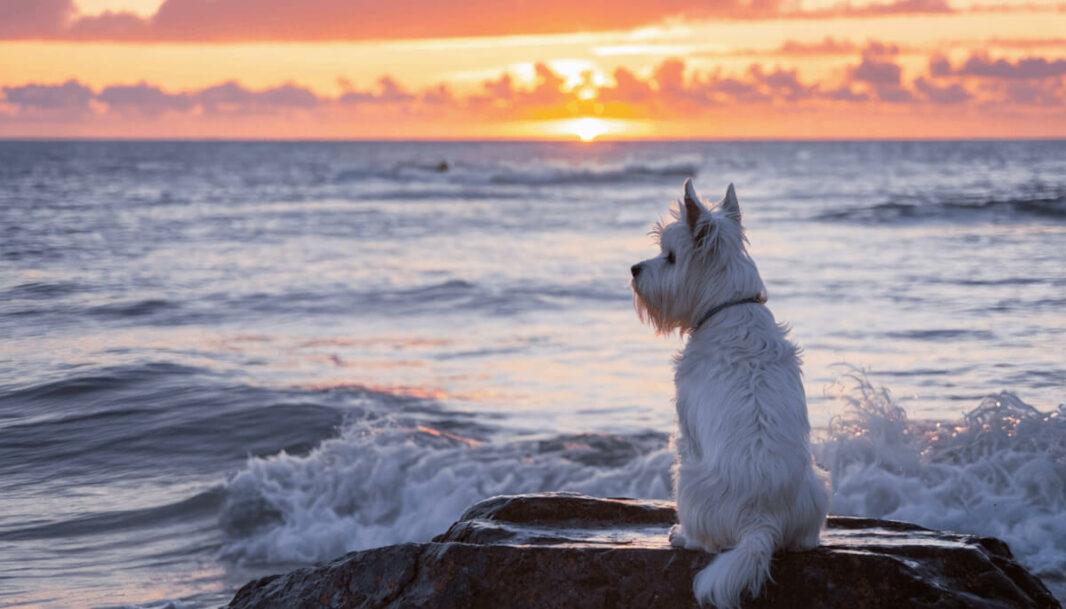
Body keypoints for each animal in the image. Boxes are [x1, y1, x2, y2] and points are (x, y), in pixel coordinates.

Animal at [626, 179, 827, 605]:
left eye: (670, 257)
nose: (634, 269)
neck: (728, 307)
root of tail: (760, 521)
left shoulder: (686, 422)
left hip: (687, 480)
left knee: (705, 540)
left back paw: (681, 535)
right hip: (818, 483)